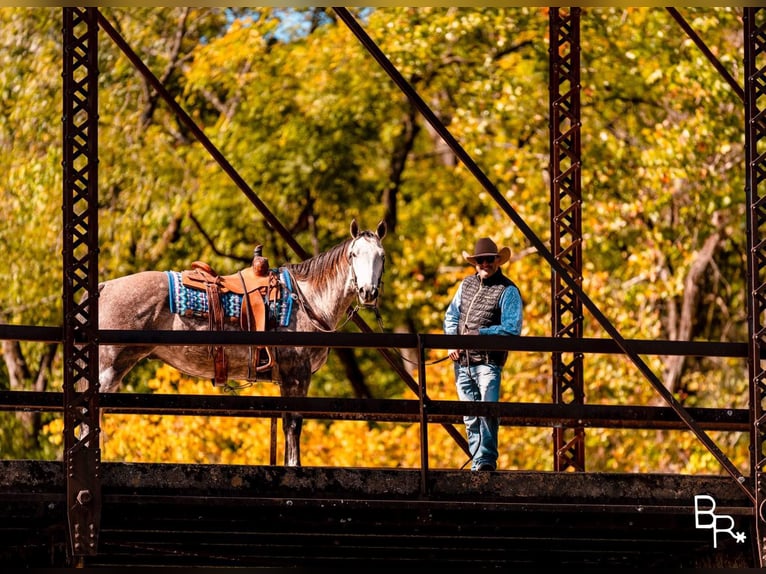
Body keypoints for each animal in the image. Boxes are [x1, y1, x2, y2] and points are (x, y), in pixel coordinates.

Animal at [89, 220, 388, 468]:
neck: (308, 298)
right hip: (108, 368)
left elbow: (286, 423)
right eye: (353, 255)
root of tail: (105, 286)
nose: (368, 292)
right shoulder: (296, 374)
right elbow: (293, 424)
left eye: (381, 256)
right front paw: (295, 467)